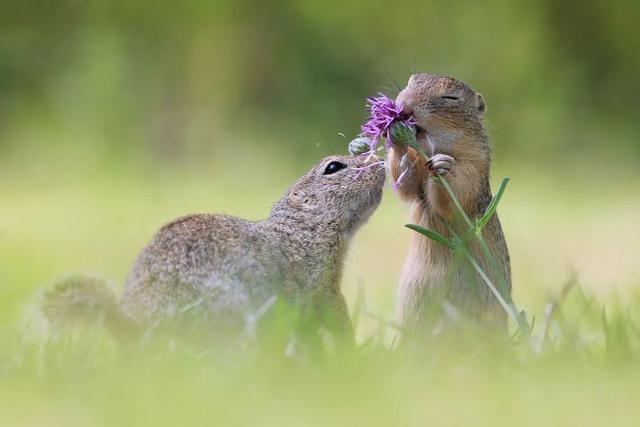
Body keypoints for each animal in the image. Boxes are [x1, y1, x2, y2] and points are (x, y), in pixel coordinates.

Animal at [46, 157, 384, 348]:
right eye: (333, 167)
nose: (380, 163)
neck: (301, 228)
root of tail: (138, 328)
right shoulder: (319, 285)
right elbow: (330, 314)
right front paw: (347, 345)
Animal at [388, 73, 512, 332]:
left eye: (450, 97)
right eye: (411, 80)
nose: (404, 107)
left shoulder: (473, 168)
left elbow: (455, 195)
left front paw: (443, 166)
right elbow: (406, 186)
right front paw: (397, 138)